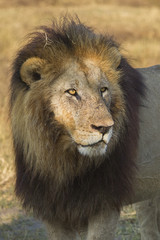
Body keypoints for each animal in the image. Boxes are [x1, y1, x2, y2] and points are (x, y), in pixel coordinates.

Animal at [10, 15, 160, 239]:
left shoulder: (103, 204)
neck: (60, 160)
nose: (105, 128)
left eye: (103, 89)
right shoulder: (53, 211)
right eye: (72, 92)